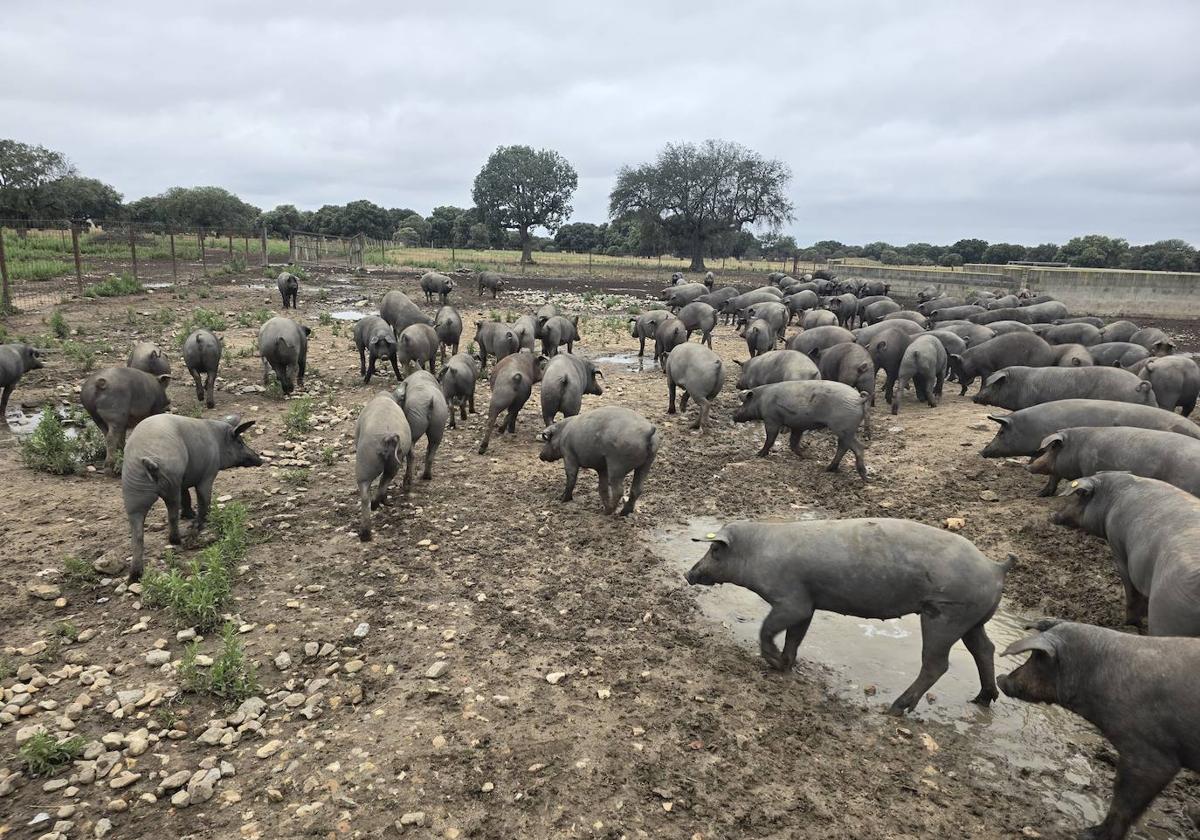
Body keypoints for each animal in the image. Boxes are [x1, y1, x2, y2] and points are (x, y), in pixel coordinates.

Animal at [120, 412, 261, 578]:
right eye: (239, 442)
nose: (260, 459)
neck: (217, 440)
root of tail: (149, 461)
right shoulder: (207, 475)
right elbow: (203, 499)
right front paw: (199, 522)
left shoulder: (183, 480)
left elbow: (187, 497)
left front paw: (189, 515)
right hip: (170, 484)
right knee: (172, 515)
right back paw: (178, 540)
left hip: (132, 495)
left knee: (137, 535)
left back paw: (134, 576)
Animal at [352, 391, 415, 542]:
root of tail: (388, 437)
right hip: (393, 462)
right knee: (384, 482)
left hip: (364, 465)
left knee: (365, 497)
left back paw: (365, 532)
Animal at [686, 518, 1012, 715]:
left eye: (714, 550)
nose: (689, 574)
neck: (756, 554)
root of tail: (995, 568)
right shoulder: (809, 603)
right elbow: (795, 637)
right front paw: (786, 665)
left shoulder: (791, 600)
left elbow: (768, 629)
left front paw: (774, 662)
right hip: (972, 620)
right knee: (985, 649)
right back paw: (982, 699)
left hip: (944, 615)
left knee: (937, 664)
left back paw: (895, 708)